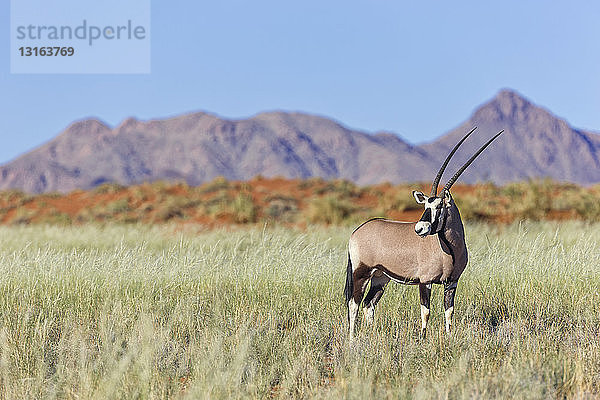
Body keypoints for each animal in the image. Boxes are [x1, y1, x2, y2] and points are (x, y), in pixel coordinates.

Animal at [342, 127, 502, 338]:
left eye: (439, 206)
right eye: (426, 205)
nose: (419, 228)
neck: (450, 249)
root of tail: (357, 231)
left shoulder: (452, 282)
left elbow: (449, 312)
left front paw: (449, 337)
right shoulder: (425, 282)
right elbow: (425, 311)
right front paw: (422, 338)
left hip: (380, 277)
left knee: (369, 304)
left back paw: (371, 335)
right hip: (361, 272)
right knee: (354, 304)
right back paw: (352, 339)